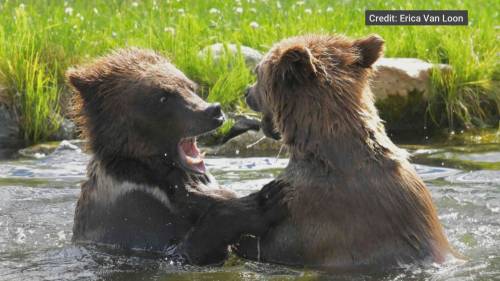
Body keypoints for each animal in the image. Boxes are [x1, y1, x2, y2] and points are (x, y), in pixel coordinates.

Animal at [66, 47, 286, 264]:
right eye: (163, 97)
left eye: (189, 86)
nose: (213, 110)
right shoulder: (132, 211)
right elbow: (182, 250)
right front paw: (262, 201)